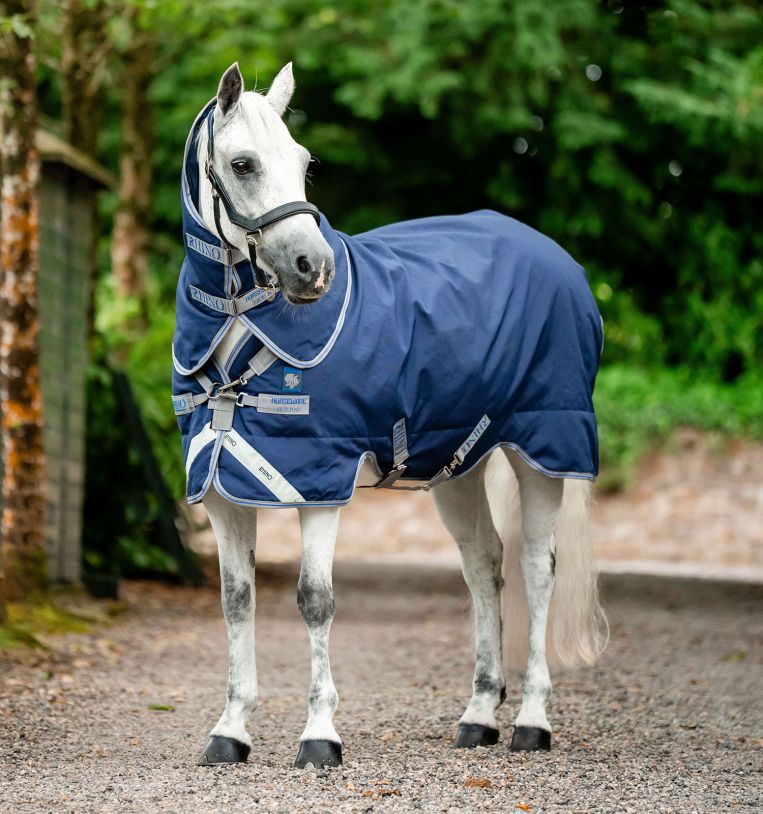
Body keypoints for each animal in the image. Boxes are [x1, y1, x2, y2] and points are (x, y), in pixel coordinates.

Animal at [172, 62, 607, 770]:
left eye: (303, 161)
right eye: (241, 164)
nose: (312, 269)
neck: (242, 328)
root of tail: (560, 261)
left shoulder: (319, 482)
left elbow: (314, 600)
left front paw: (319, 735)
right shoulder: (219, 489)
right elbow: (237, 602)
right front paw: (230, 730)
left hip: (544, 449)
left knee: (538, 570)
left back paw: (532, 722)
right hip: (460, 466)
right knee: (483, 566)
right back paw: (478, 716)